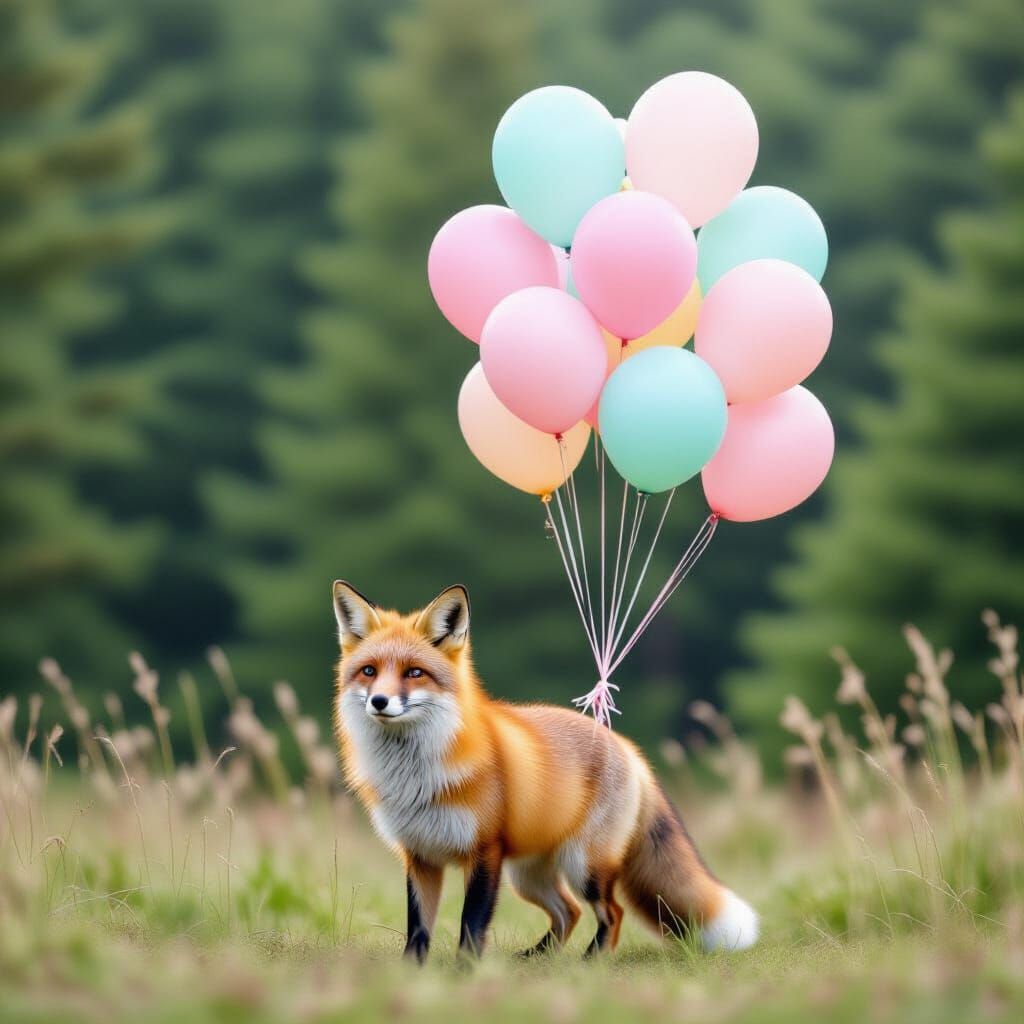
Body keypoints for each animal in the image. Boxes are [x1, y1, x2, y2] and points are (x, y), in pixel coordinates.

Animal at [331, 579, 758, 963]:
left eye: (414, 673)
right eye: (369, 671)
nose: (379, 701)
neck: (416, 775)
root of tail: (626, 748)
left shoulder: (485, 852)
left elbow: (472, 924)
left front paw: (465, 972)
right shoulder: (420, 856)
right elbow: (418, 928)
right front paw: (412, 972)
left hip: (584, 866)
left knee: (611, 912)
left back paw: (590, 963)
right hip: (529, 876)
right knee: (569, 912)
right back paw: (539, 958)